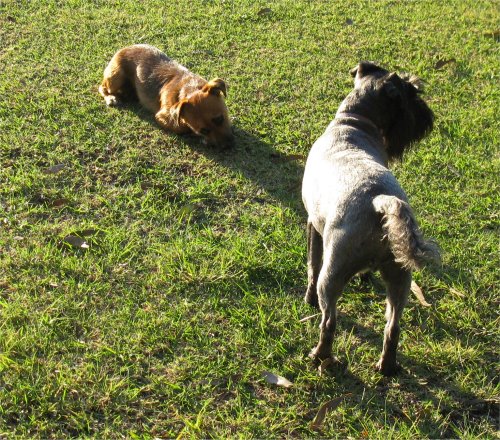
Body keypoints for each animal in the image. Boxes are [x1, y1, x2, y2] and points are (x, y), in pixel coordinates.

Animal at [99, 44, 235, 149]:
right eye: (203, 130)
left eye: (219, 119)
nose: (227, 146)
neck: (189, 88)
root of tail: (123, 49)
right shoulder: (162, 117)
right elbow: (181, 127)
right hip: (116, 77)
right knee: (102, 87)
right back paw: (111, 98)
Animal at [301, 61, 440, 376]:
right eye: (413, 93)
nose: (428, 117)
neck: (353, 123)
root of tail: (379, 200)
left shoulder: (313, 225)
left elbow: (312, 264)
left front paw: (308, 299)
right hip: (400, 279)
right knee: (393, 327)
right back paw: (387, 366)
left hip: (332, 275)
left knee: (329, 321)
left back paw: (320, 356)